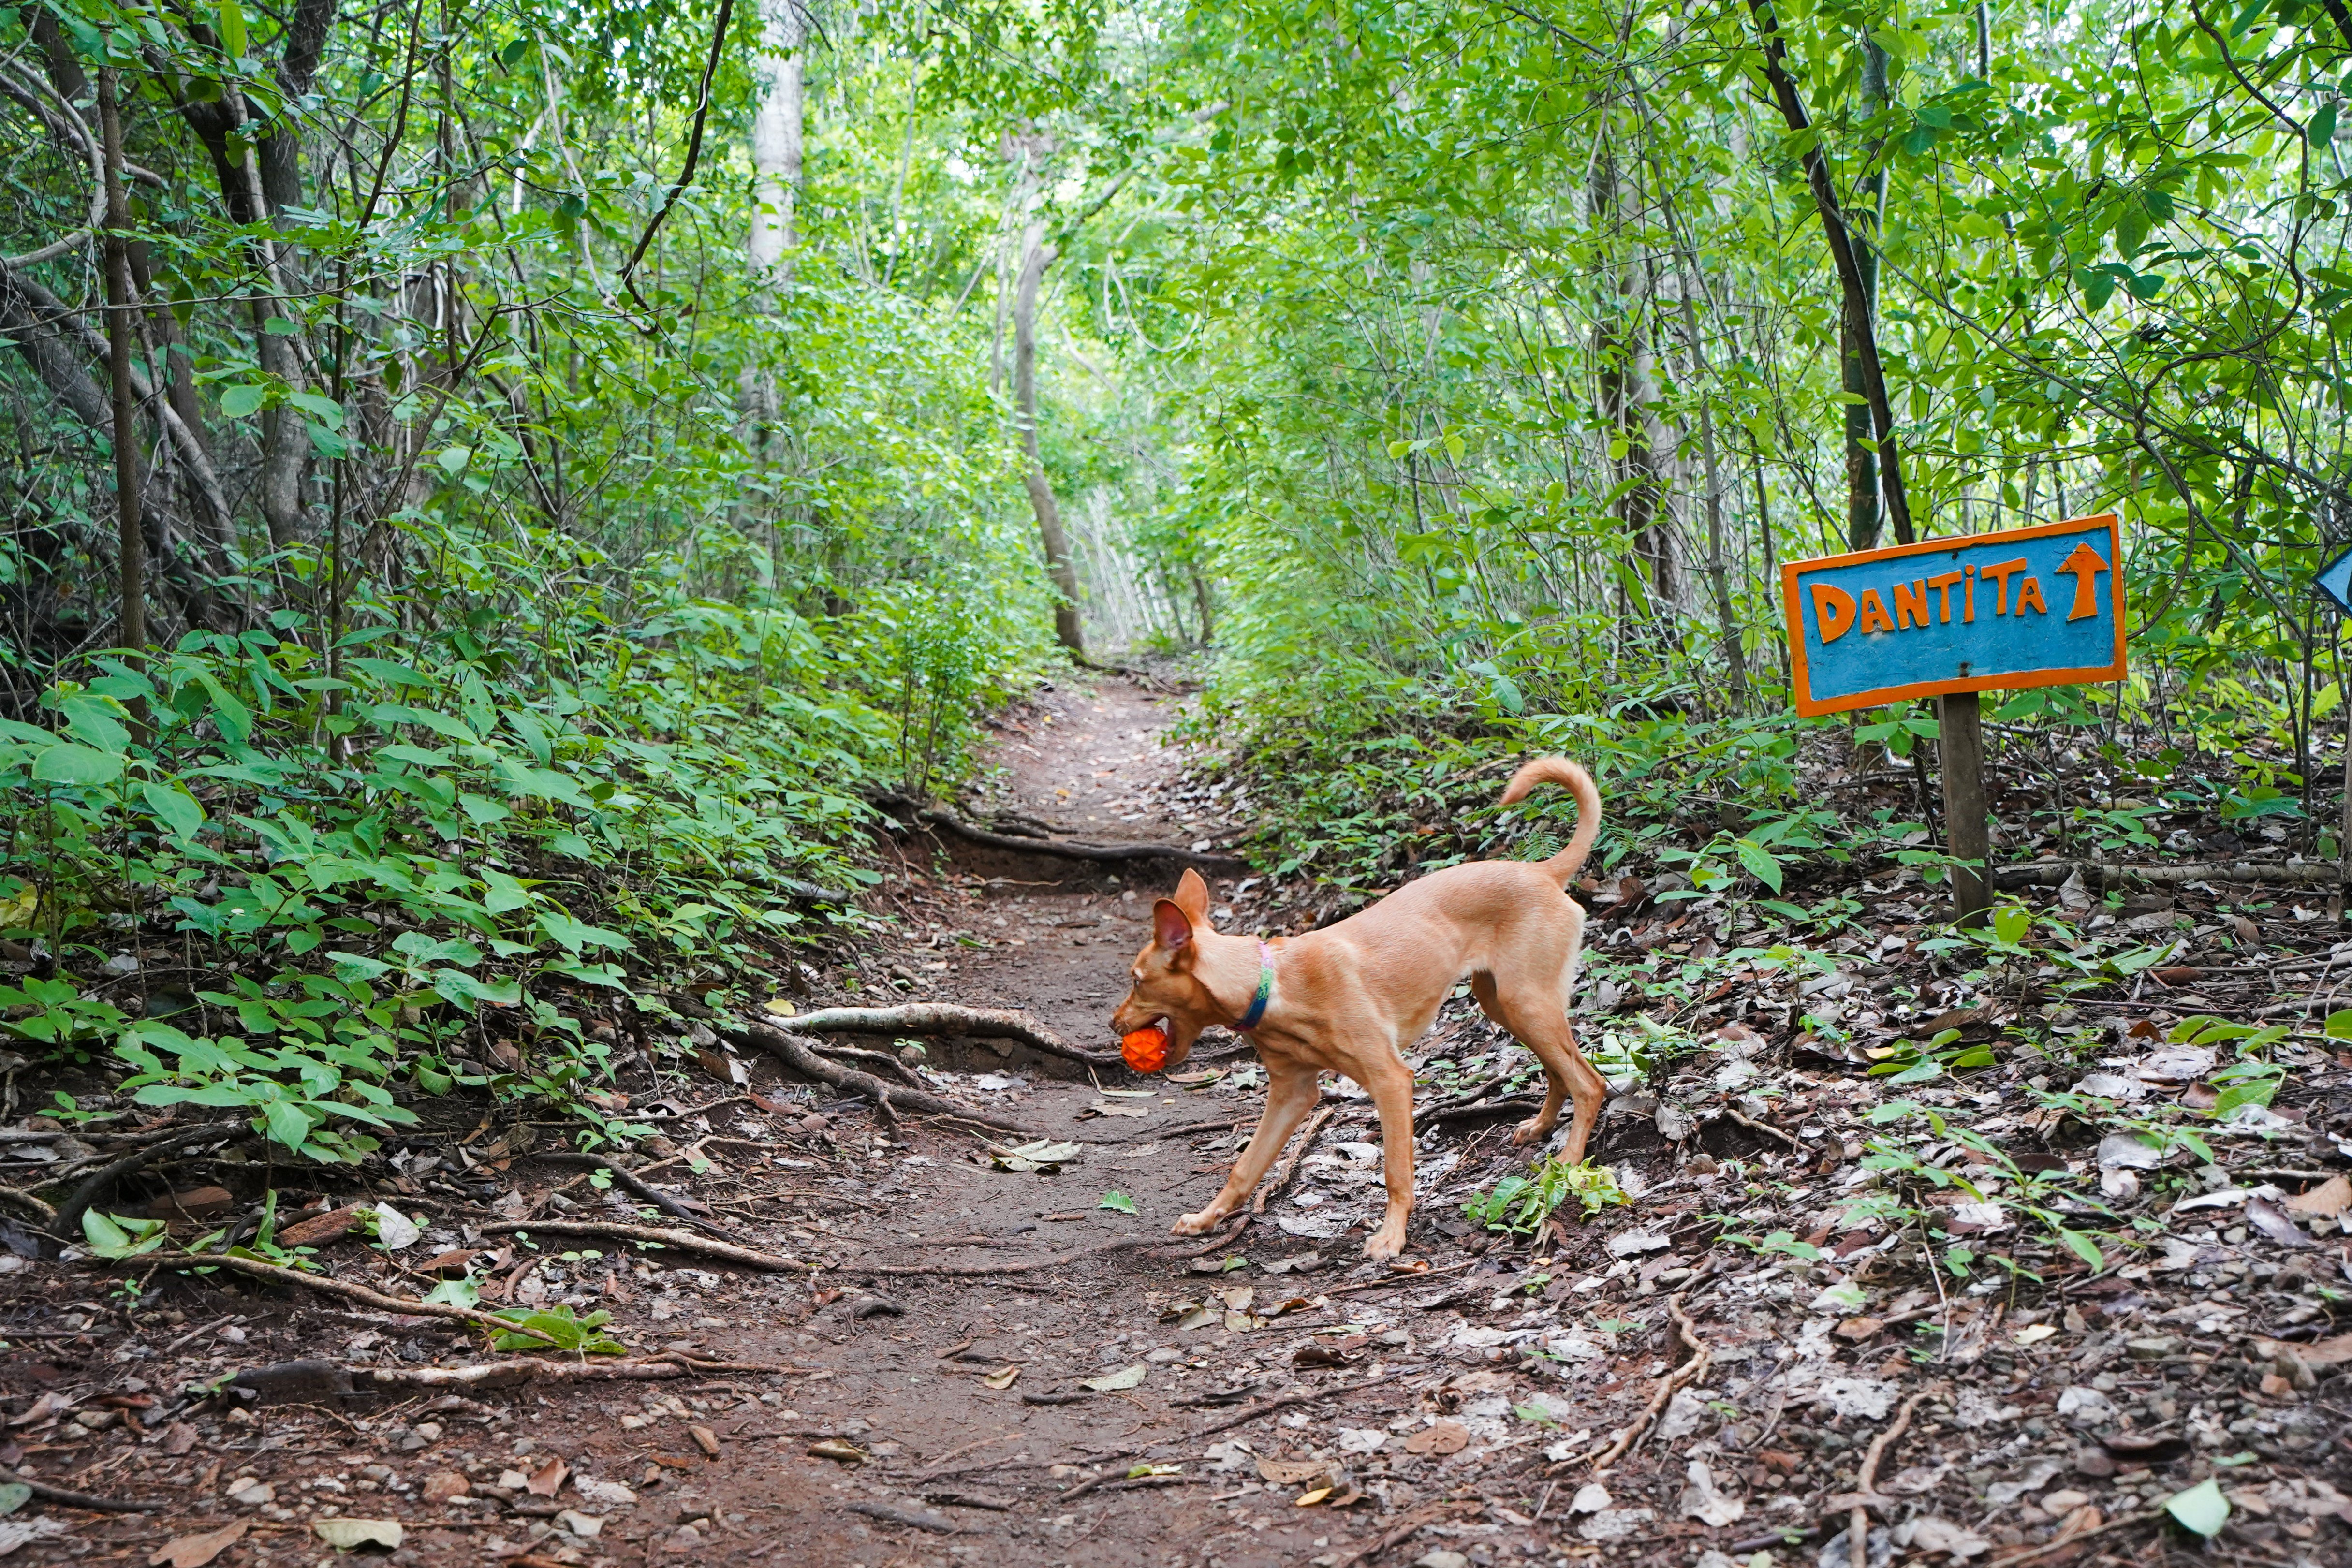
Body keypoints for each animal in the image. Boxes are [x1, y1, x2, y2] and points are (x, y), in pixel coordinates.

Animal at [1110, 757, 1604, 1259]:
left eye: (1136, 980)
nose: (1113, 1023)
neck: (1272, 984)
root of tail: (1543, 871)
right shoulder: (1292, 1093)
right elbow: (1244, 1167)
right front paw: (1206, 1218)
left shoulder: (1391, 1080)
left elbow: (1396, 1172)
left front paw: (1391, 1236)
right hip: (1504, 1003)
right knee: (1562, 1069)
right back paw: (1540, 1127)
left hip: (1526, 1003)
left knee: (1590, 1082)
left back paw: (1568, 1160)